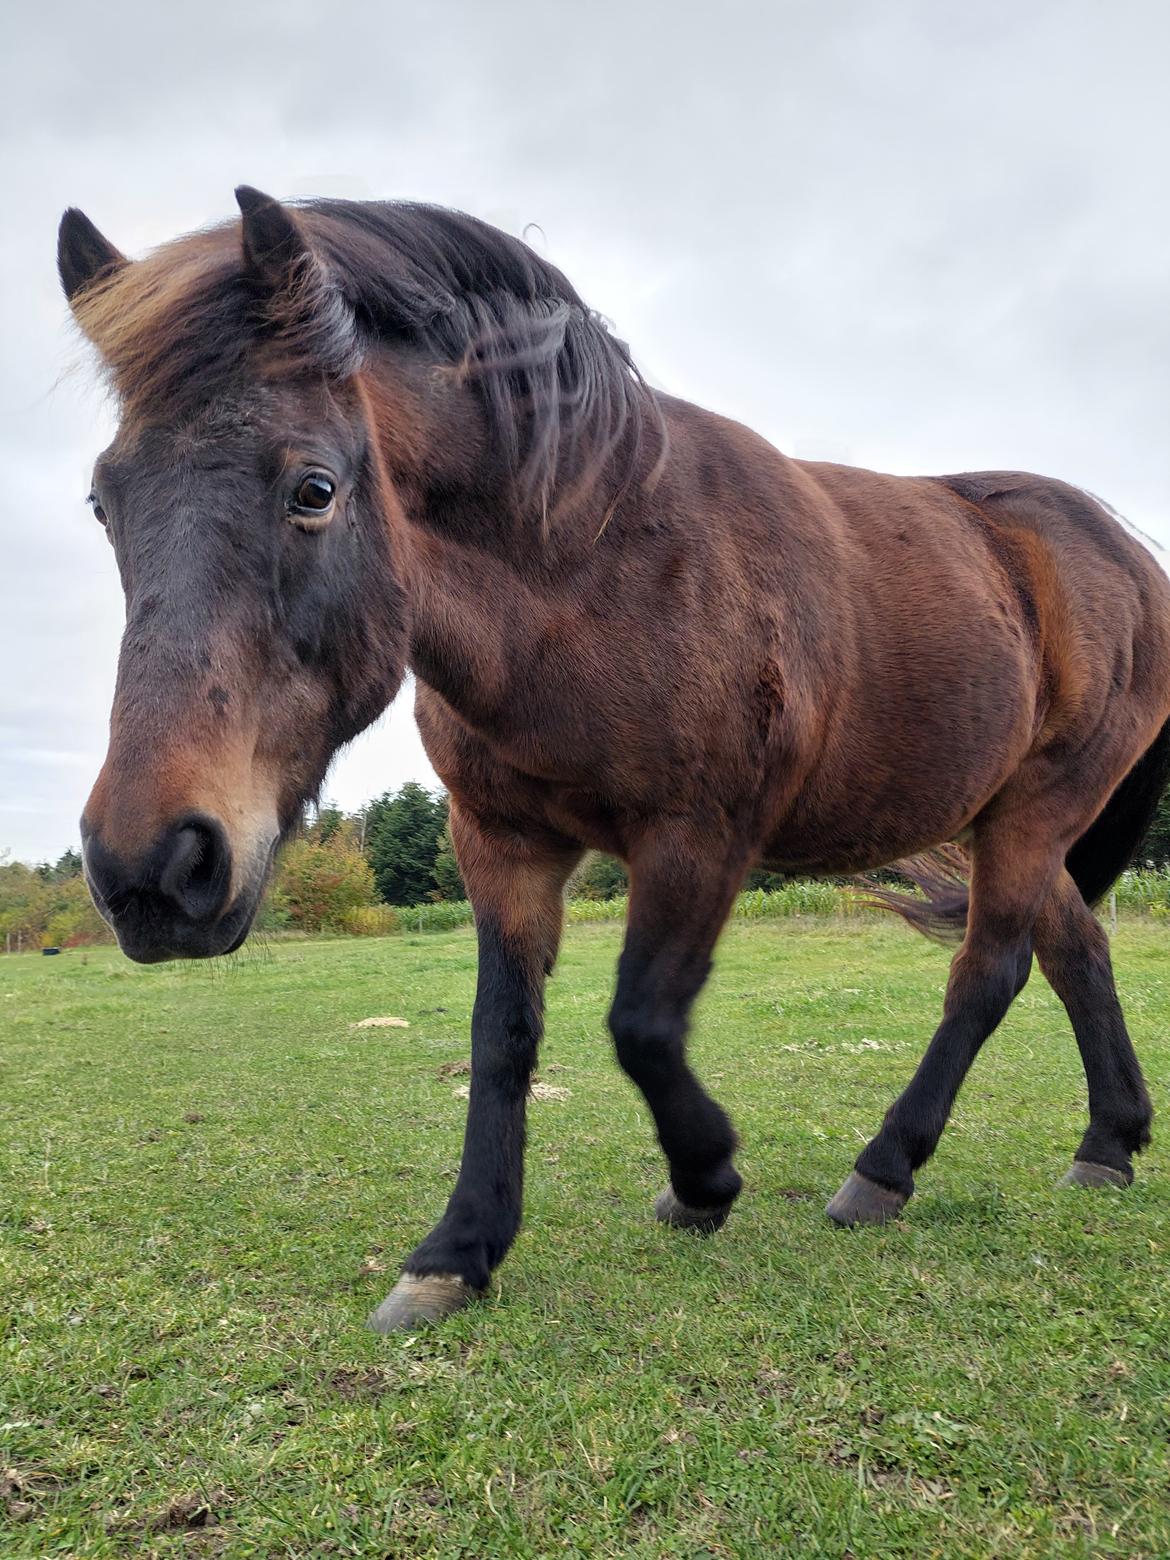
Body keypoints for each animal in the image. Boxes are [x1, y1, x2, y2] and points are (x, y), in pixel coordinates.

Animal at [57, 182, 1170, 1329]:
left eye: (314, 489)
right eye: (104, 504)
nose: (152, 869)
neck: (595, 571)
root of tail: (1121, 550)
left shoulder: (698, 838)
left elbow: (642, 1022)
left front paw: (705, 1179)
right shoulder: (502, 842)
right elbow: (502, 1036)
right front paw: (459, 1250)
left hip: (1036, 810)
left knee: (987, 973)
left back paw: (885, 1169)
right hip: (1011, 822)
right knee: (1075, 951)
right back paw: (1108, 1142)